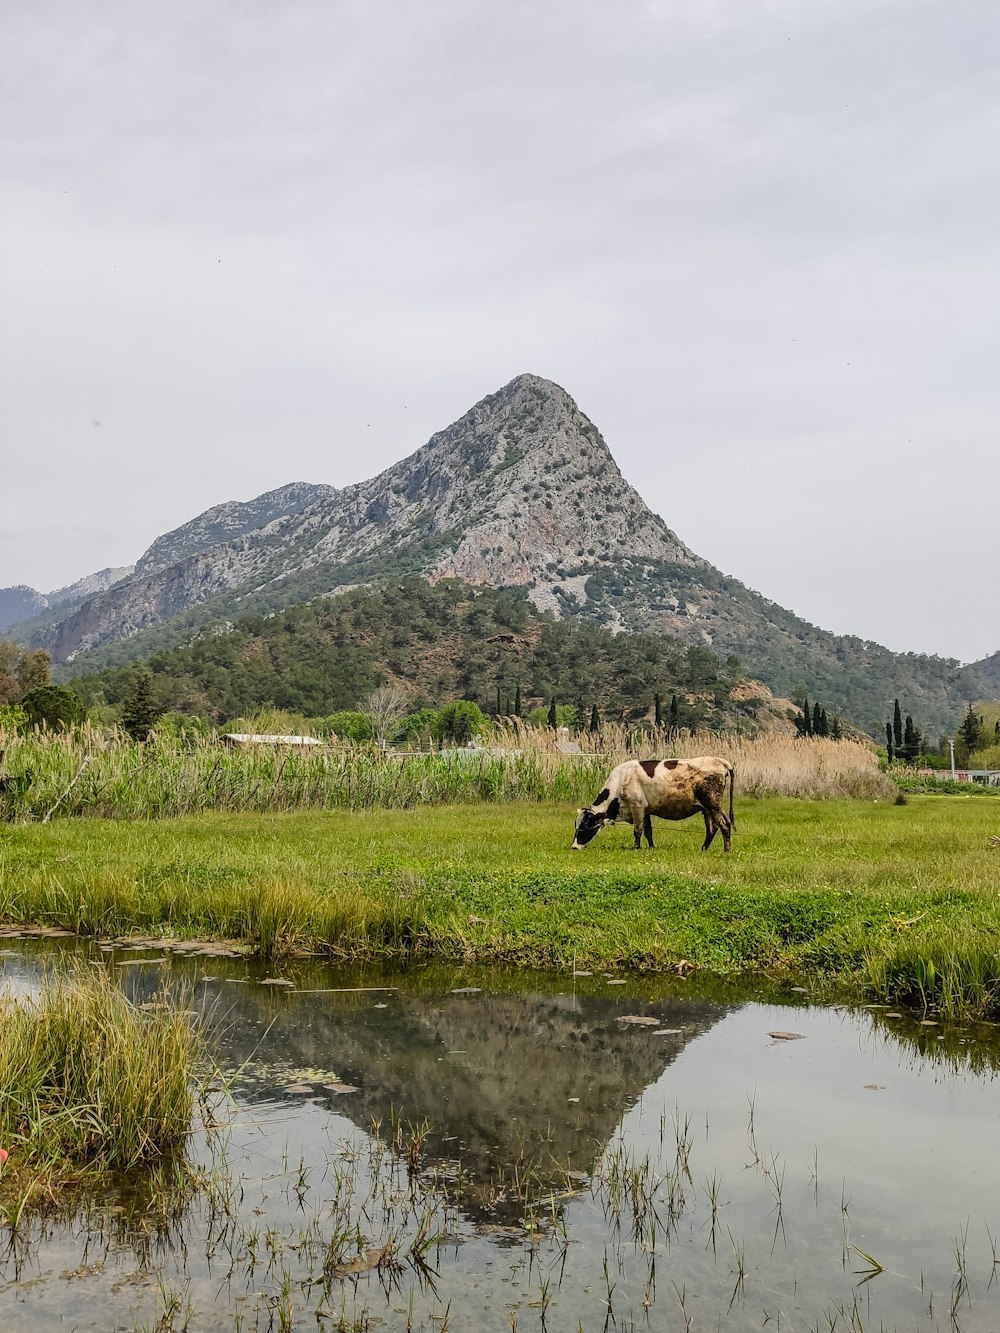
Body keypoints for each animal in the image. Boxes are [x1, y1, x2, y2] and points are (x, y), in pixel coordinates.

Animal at [570, 757, 736, 847]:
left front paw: (636, 848)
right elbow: (648, 832)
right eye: (576, 826)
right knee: (713, 828)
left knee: (724, 825)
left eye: (585, 826)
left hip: (712, 804)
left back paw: (726, 851)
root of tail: (719, 760)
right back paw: (703, 849)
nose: (574, 847)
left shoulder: (637, 807)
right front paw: (650, 847)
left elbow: (637, 831)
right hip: (707, 808)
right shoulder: (645, 810)